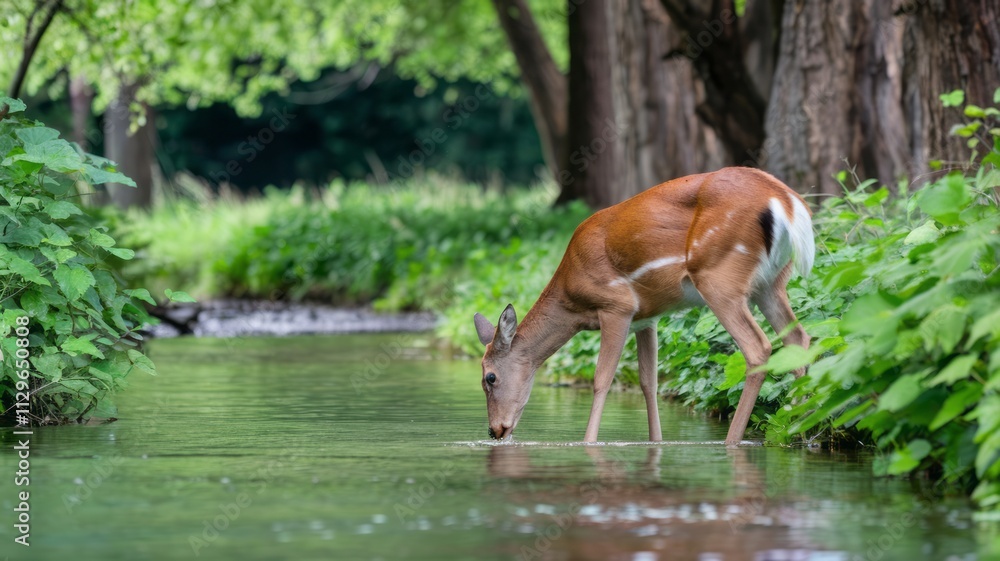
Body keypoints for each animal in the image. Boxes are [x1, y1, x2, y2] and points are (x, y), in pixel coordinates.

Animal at [473, 167, 814, 446]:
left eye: (490, 377)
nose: (495, 430)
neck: (573, 299)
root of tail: (787, 201)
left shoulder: (617, 305)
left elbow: (602, 379)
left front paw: (587, 443)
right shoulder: (647, 318)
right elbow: (648, 382)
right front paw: (655, 442)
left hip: (718, 276)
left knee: (758, 347)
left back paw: (734, 441)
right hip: (771, 283)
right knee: (798, 338)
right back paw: (797, 428)